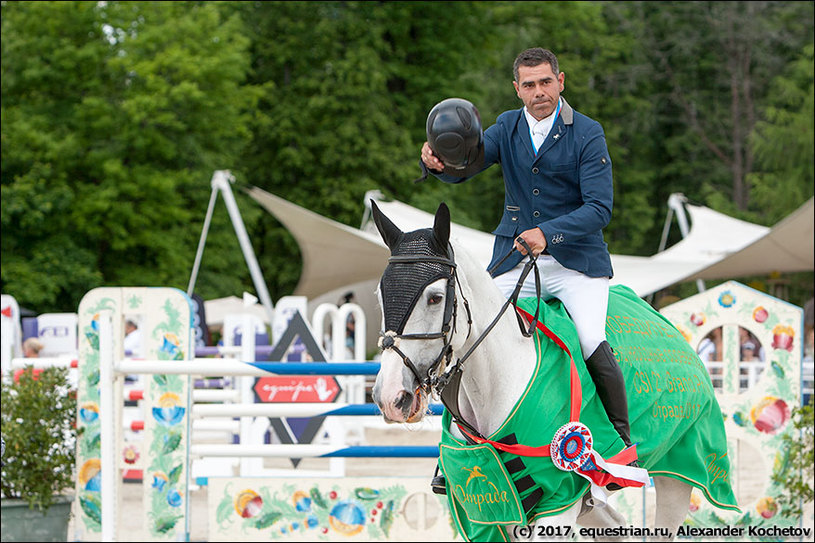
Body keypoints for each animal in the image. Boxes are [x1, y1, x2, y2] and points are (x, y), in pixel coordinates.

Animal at [370, 202, 740, 540]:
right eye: (380, 294)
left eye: (434, 297)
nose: (390, 397)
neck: (496, 384)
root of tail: (667, 327)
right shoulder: (487, 511)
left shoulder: (558, 500)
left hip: (681, 469)